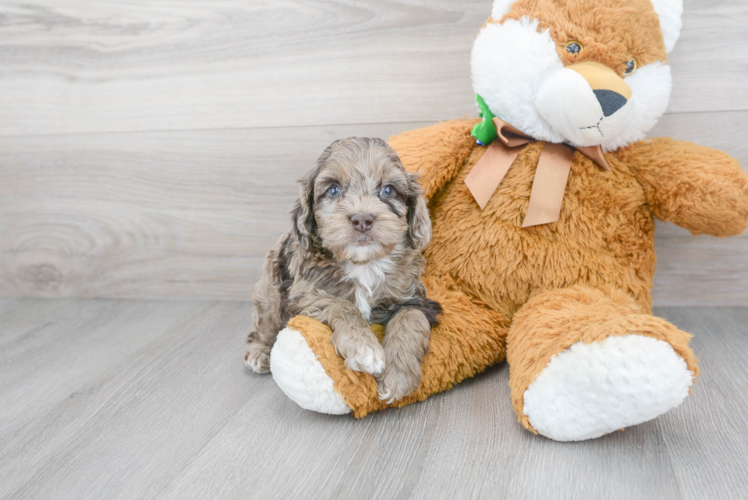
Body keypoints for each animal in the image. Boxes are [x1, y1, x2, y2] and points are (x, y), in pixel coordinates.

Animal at [245, 136, 442, 402]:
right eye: (333, 190)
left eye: (388, 190)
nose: (362, 219)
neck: (364, 264)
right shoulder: (305, 294)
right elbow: (342, 305)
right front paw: (364, 348)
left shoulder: (415, 298)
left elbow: (410, 318)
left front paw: (397, 377)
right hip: (270, 292)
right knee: (263, 327)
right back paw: (259, 353)